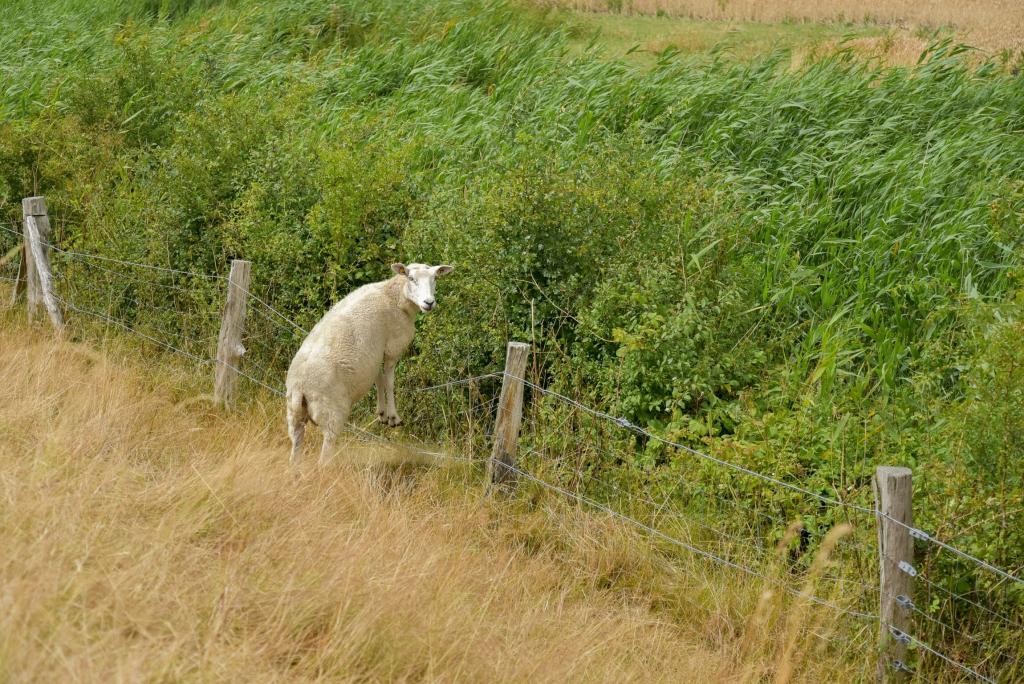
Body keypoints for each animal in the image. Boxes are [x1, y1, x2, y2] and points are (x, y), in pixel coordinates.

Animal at [285, 262, 454, 464]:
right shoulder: (392, 348)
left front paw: (382, 414)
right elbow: (389, 382)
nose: (429, 302)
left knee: (295, 450)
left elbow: (379, 379)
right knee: (324, 456)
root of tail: (300, 388)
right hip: (332, 413)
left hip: (294, 416)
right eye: (411, 278)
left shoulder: (376, 353)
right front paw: (393, 417)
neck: (393, 295)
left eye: (434, 278)